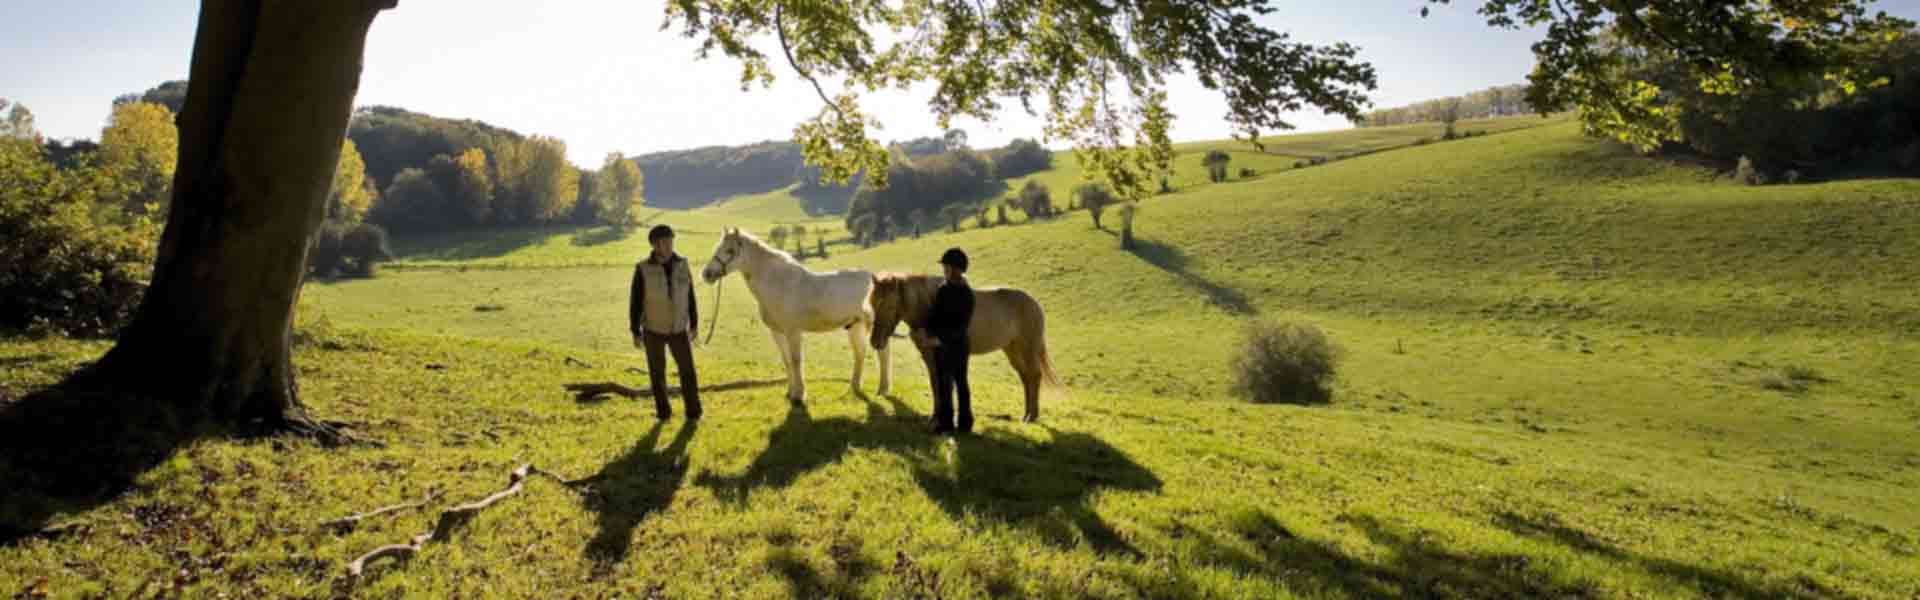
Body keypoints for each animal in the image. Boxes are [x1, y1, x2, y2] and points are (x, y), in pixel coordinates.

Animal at [698, 229, 890, 403]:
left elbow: (796, 360)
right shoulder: (777, 332)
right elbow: (787, 360)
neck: (778, 283)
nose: (707, 274)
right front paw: (790, 392)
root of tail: (875, 280)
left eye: (730, 250)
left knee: (883, 352)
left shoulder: (793, 332)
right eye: (718, 247)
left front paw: (799, 395)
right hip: (855, 326)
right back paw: (855, 387)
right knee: (860, 353)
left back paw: (882, 389)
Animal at [875, 273, 1067, 421]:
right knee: (1026, 377)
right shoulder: (929, 356)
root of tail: (1034, 303)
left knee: (1034, 376)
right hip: (1013, 349)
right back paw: (1027, 414)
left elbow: (943, 385)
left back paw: (1031, 416)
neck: (931, 306)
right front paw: (935, 417)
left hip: (1027, 348)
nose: (875, 341)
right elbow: (935, 384)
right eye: (874, 302)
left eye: (889, 304)